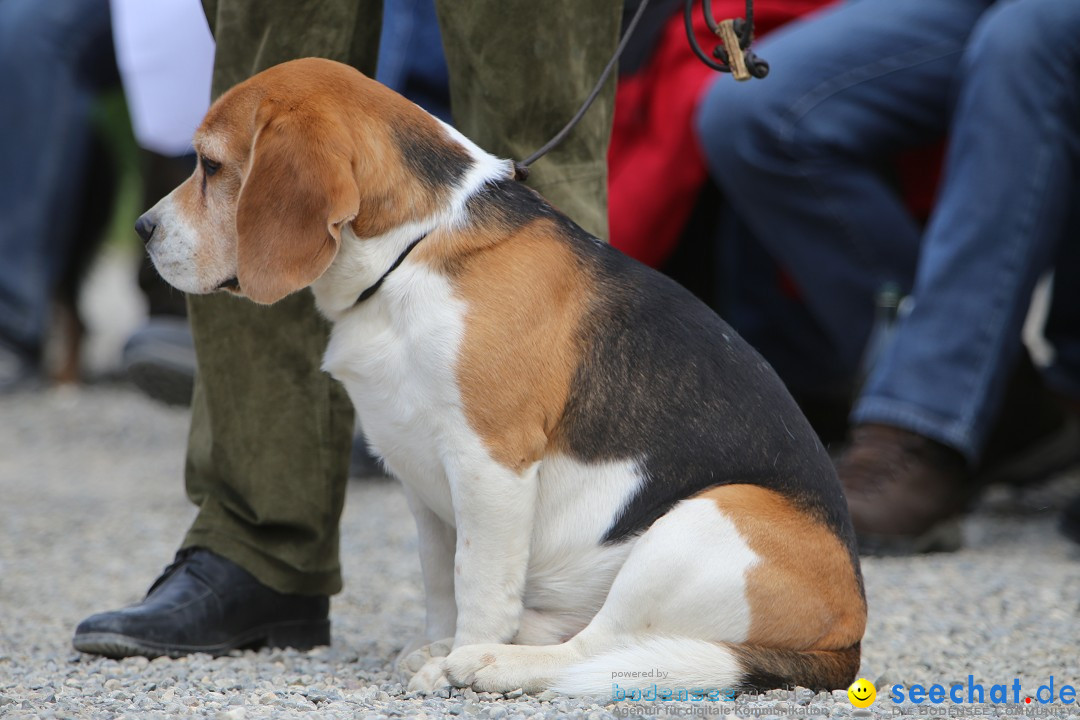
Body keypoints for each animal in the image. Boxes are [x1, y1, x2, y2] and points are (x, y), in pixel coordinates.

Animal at [139, 57, 868, 699]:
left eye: (210, 165)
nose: (143, 228)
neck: (414, 248)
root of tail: (850, 642)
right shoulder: (417, 472)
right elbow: (442, 581)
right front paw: (439, 642)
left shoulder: (490, 462)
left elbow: (478, 581)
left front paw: (456, 660)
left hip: (706, 521)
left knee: (599, 646)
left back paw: (491, 662)